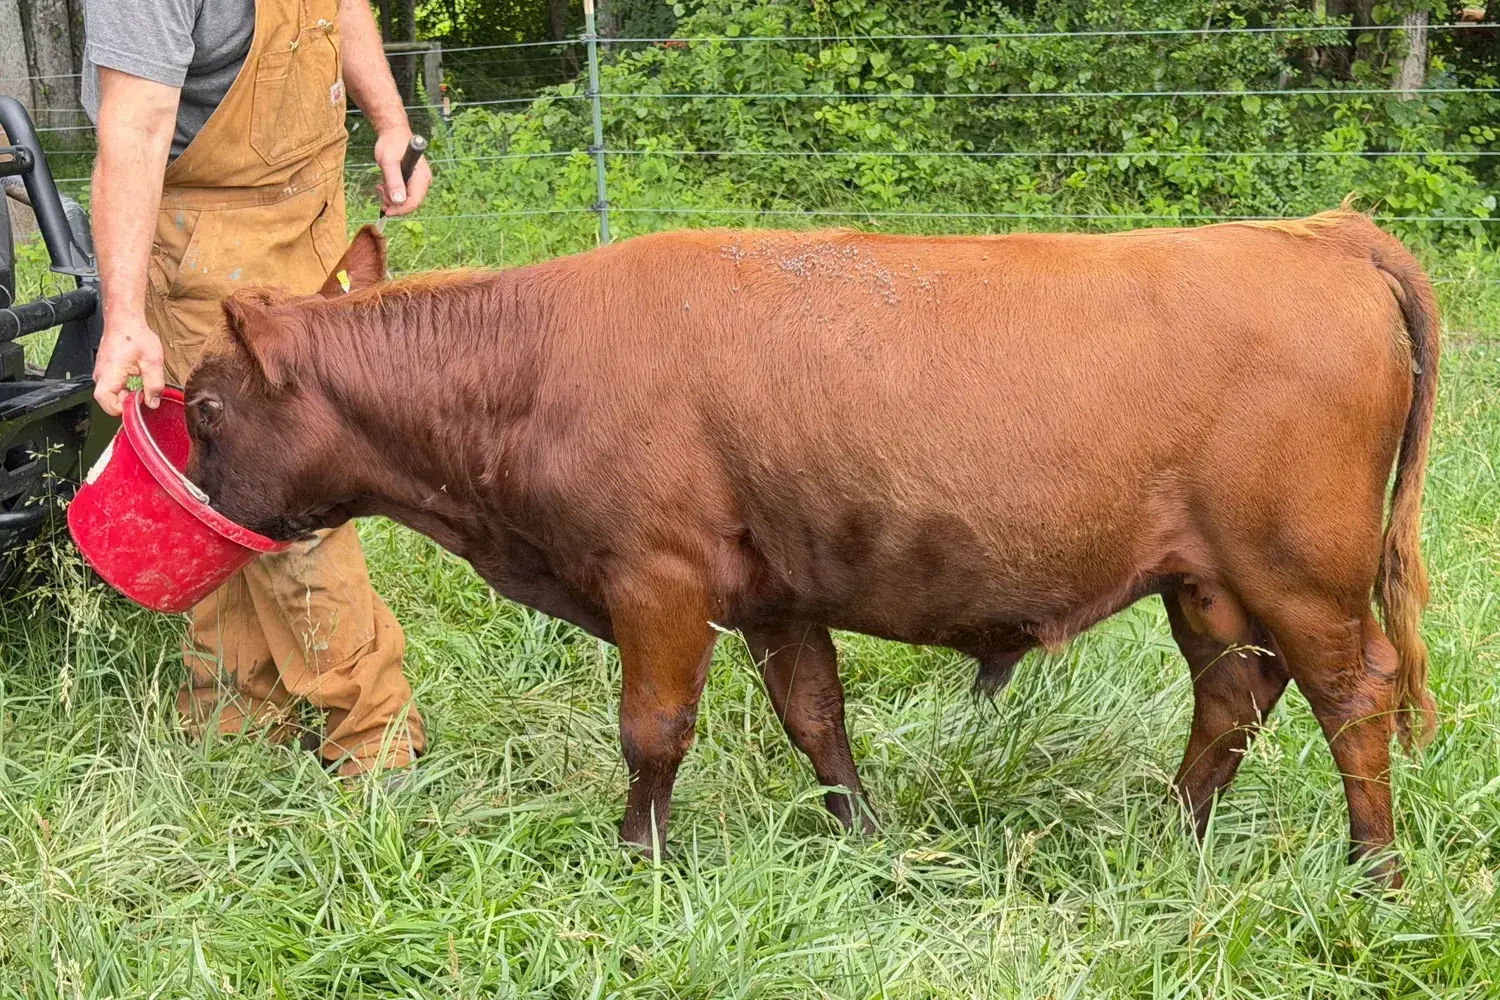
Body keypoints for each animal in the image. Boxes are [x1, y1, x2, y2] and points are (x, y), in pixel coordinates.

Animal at [182, 210, 1438, 883]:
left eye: (201, 406)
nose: (195, 493)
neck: (528, 360)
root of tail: (1321, 231)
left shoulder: (656, 573)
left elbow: (653, 727)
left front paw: (637, 855)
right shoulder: (778, 592)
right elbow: (815, 717)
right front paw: (863, 836)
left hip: (1303, 569)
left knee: (1354, 695)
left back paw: (1374, 872)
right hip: (1209, 580)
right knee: (1235, 695)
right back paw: (1175, 837)